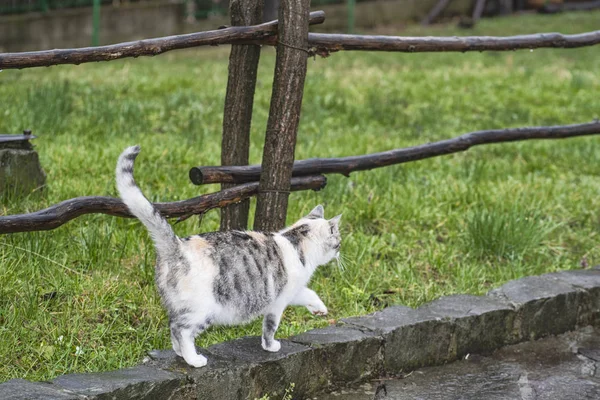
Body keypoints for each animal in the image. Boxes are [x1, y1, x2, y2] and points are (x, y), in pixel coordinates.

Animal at [116, 145, 342, 368]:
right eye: (338, 240)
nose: (341, 250)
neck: (296, 242)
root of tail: (178, 246)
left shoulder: (291, 291)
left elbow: (310, 293)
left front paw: (320, 309)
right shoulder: (278, 302)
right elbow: (270, 327)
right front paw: (270, 346)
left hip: (177, 303)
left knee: (172, 326)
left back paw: (180, 353)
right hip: (203, 309)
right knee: (182, 330)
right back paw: (193, 359)